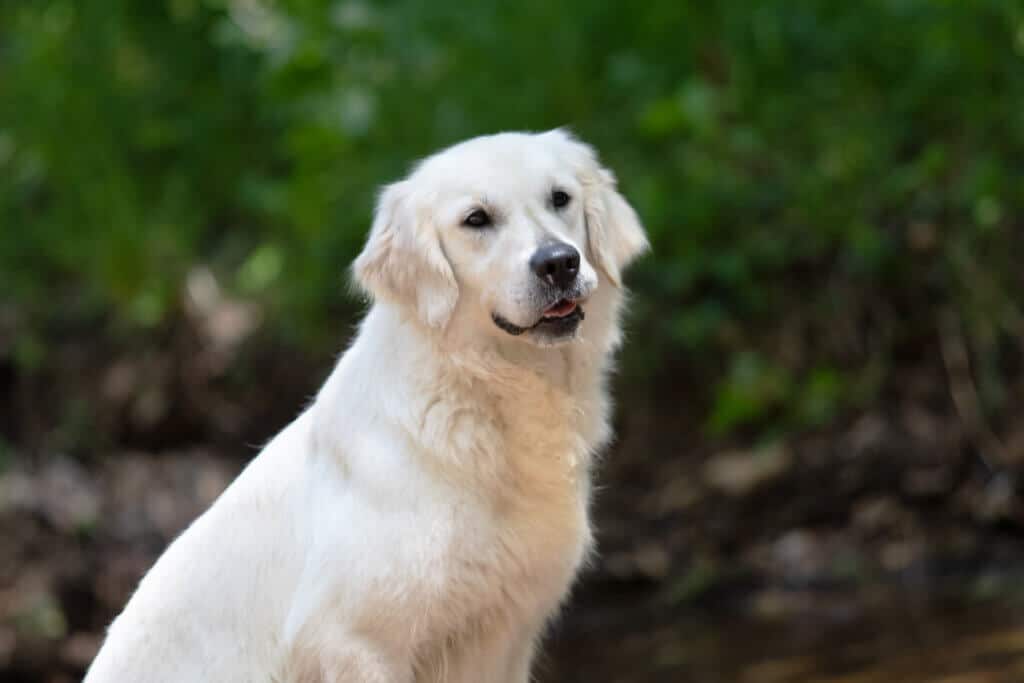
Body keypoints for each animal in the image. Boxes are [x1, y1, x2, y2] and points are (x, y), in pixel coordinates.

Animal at [86, 129, 647, 683]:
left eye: (560, 198)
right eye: (476, 219)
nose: (559, 262)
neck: (487, 394)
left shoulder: (506, 635)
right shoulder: (355, 638)